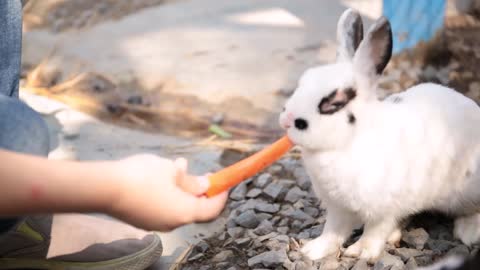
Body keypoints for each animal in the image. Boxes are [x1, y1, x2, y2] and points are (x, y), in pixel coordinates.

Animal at [280, 8, 480, 264]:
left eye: (334, 102)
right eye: (303, 81)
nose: (287, 120)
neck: (347, 144)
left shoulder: (383, 209)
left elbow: (374, 231)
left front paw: (360, 252)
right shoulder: (337, 208)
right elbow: (333, 231)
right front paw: (312, 250)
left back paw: (468, 232)